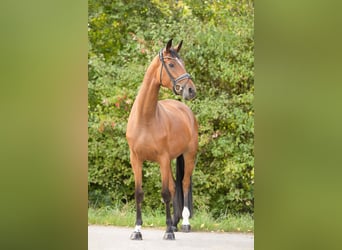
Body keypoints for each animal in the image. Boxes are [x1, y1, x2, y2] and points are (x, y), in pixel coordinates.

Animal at [126, 39, 198, 240]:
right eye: (172, 64)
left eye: (183, 63)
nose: (191, 90)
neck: (146, 119)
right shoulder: (136, 159)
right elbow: (139, 193)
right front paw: (137, 231)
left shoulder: (163, 159)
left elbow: (165, 193)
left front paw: (168, 232)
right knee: (175, 187)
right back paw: (173, 223)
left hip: (189, 156)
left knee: (184, 184)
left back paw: (184, 224)